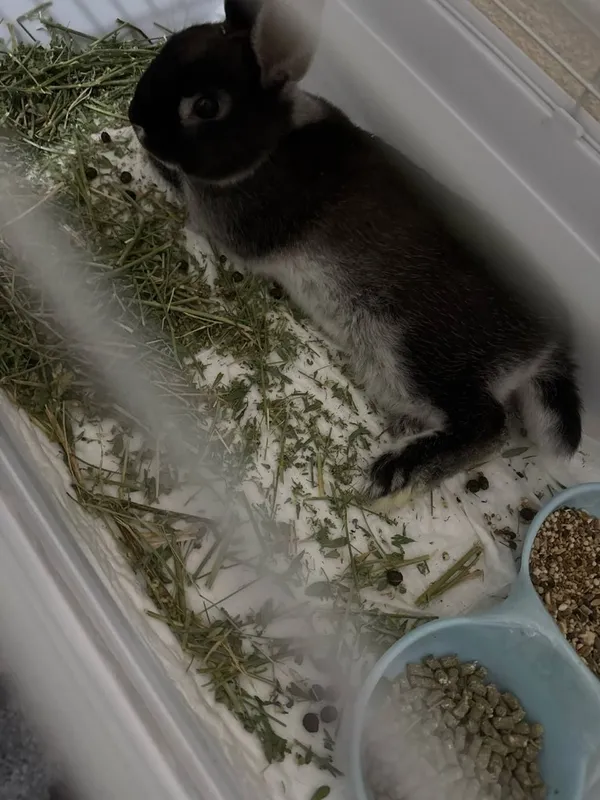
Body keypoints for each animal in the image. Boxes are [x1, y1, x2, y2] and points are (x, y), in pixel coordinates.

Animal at [128, 0, 582, 507]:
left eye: (206, 106)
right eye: (175, 42)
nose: (135, 119)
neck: (271, 146)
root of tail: (542, 350)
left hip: (418, 355)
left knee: (488, 424)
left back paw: (396, 475)